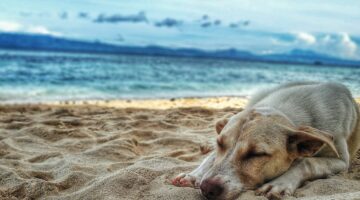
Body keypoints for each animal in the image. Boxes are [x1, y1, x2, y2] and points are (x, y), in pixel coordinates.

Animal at [172, 82, 360, 199]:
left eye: (256, 154)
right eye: (220, 144)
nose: (207, 188)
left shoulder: (341, 161)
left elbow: (307, 162)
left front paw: (280, 183)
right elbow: (212, 158)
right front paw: (195, 174)